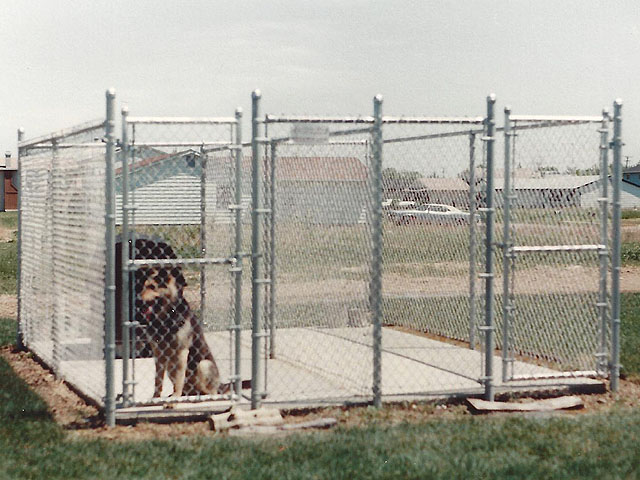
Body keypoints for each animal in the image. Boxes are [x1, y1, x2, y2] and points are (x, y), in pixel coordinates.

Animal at [135, 260, 220, 400]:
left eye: (152, 287)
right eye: (142, 287)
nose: (138, 302)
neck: (165, 318)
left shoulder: (182, 352)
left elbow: (180, 378)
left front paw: (176, 396)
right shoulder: (159, 355)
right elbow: (158, 380)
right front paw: (156, 397)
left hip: (203, 365)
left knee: (210, 391)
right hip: (171, 367)